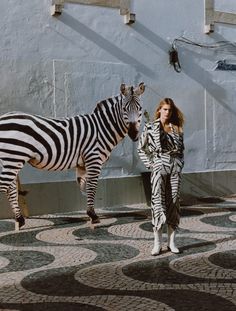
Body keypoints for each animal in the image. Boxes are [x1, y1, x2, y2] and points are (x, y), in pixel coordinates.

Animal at [0, 83, 145, 229]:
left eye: (140, 109)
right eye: (124, 109)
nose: (134, 134)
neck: (102, 128)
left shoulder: (83, 164)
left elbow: (84, 187)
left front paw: (90, 215)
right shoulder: (94, 158)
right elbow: (92, 187)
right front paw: (93, 216)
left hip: (11, 161)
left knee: (11, 189)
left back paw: (19, 220)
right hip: (14, 158)